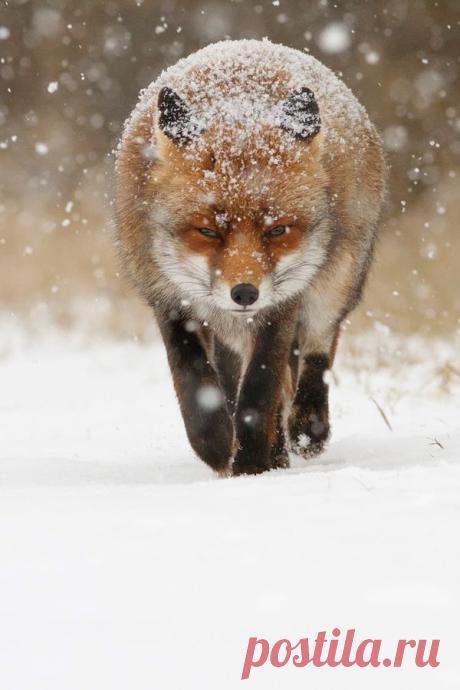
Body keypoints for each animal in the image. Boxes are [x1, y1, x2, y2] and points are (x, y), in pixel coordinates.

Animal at [115, 39, 386, 476]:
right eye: (208, 231)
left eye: (277, 230)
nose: (244, 293)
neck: (237, 106)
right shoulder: (168, 300)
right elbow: (196, 385)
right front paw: (218, 446)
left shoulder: (281, 308)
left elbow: (259, 396)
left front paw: (251, 467)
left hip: (336, 282)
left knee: (317, 351)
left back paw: (307, 429)